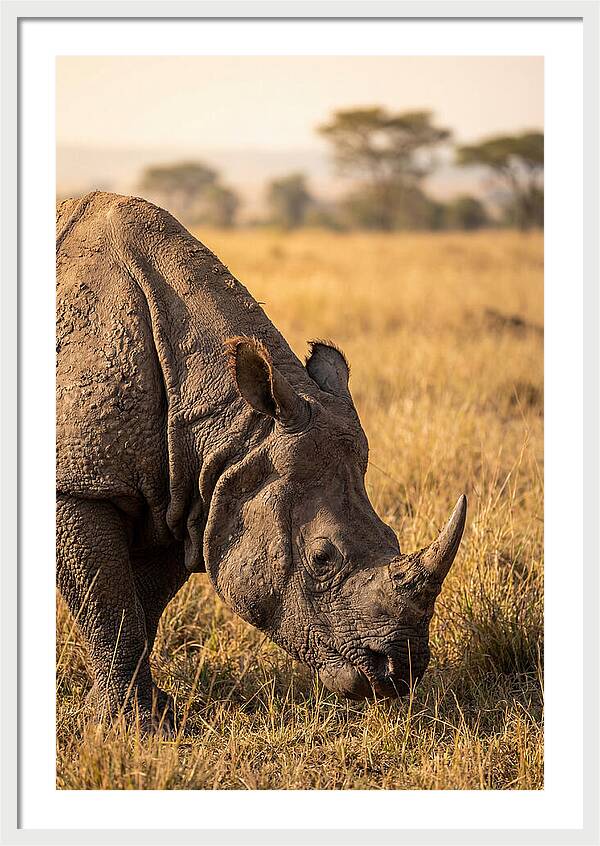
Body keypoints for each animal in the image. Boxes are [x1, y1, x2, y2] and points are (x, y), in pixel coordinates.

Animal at [56, 191, 466, 729]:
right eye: (321, 559)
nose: (400, 673)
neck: (232, 427)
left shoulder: (186, 494)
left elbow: (140, 608)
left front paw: (149, 716)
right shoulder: (80, 484)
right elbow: (111, 611)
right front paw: (134, 727)